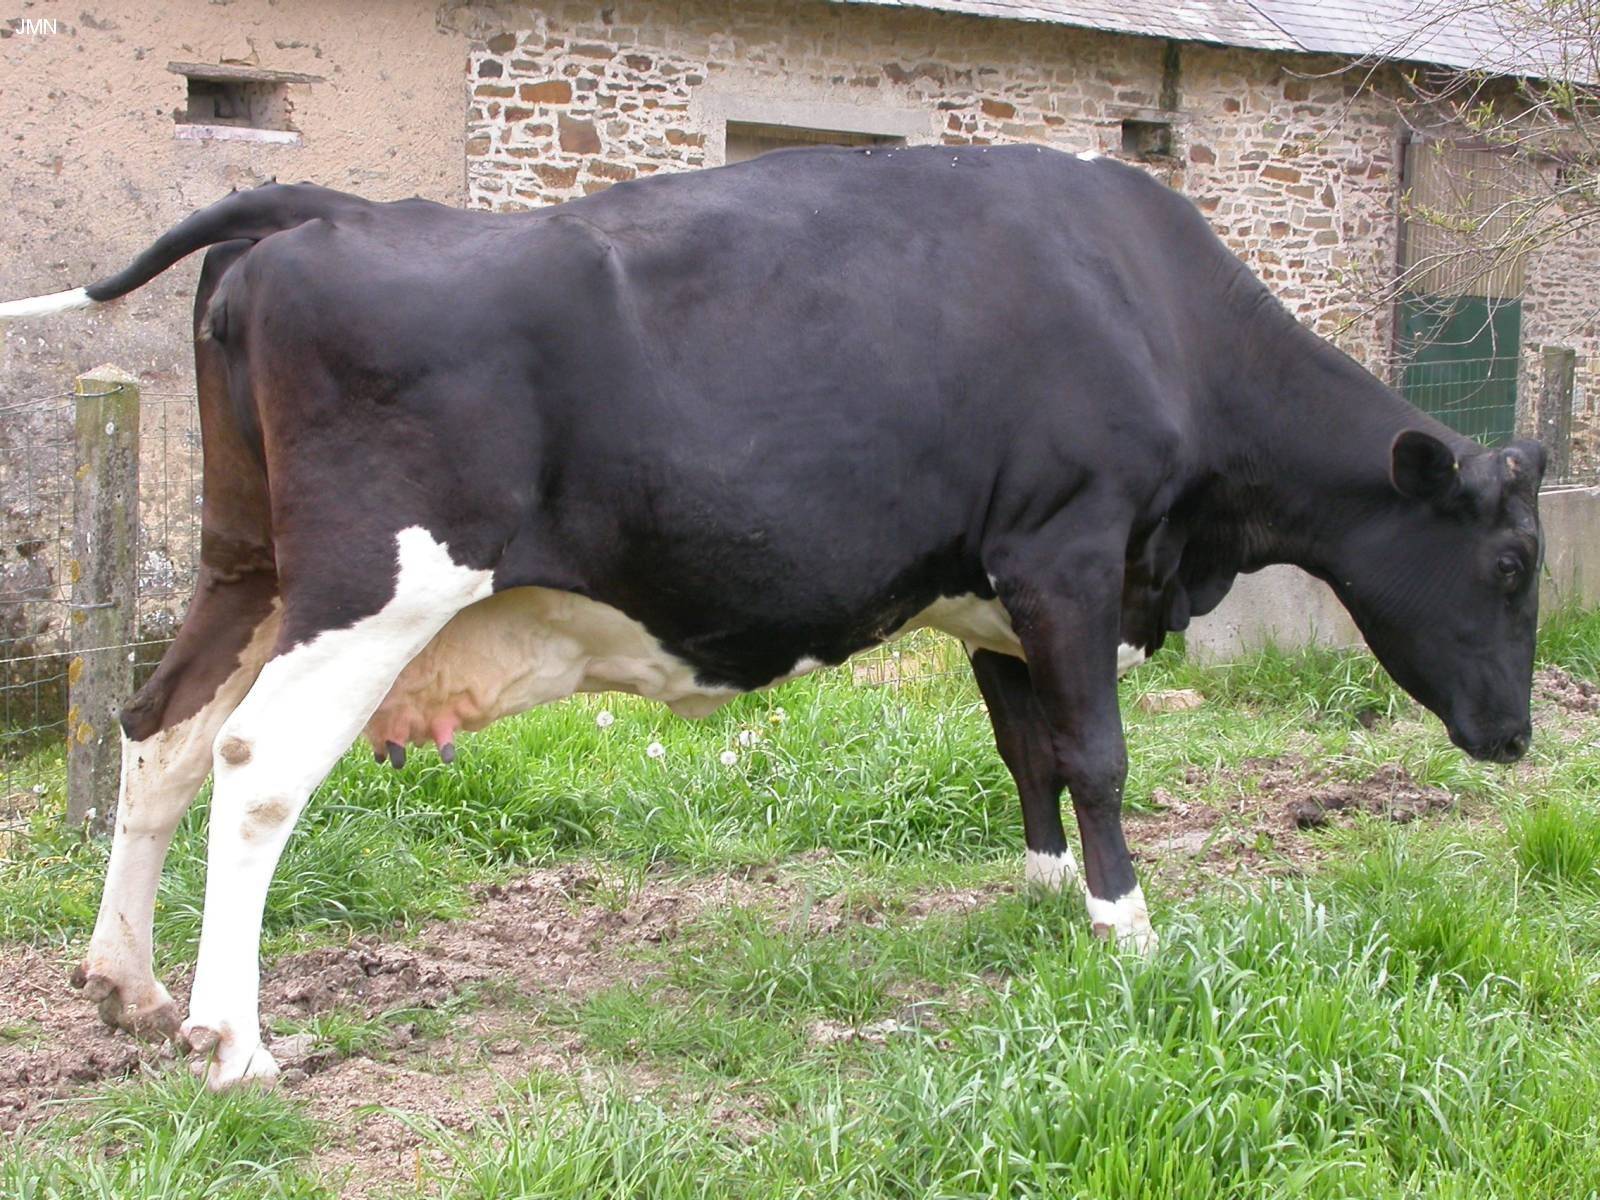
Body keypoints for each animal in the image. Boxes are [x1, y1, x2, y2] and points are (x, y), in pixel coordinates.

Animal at [0, 144, 1543, 1088]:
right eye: (1516, 563)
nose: (1522, 738)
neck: (1147, 306)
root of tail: (332, 208)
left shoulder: (994, 587)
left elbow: (1029, 754)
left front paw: (1047, 898)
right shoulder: (1067, 549)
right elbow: (1098, 755)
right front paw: (1130, 931)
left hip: (242, 564)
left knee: (156, 734)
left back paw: (124, 984)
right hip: (372, 588)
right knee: (255, 766)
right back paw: (235, 1038)